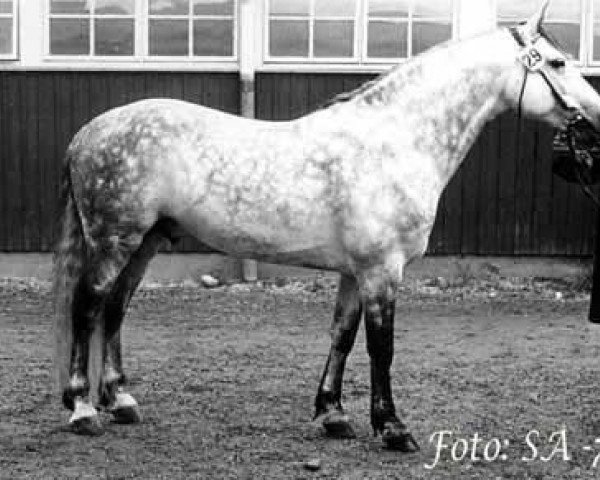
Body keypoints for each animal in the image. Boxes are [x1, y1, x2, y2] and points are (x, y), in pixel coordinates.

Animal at [55, 0, 600, 450]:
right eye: (557, 62)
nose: (593, 121)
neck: (394, 141)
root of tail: (87, 132)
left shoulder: (354, 272)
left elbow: (342, 335)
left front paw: (333, 415)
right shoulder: (382, 270)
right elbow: (382, 346)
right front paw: (393, 429)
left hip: (145, 242)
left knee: (115, 309)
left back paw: (121, 401)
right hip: (114, 240)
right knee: (88, 306)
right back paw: (83, 409)